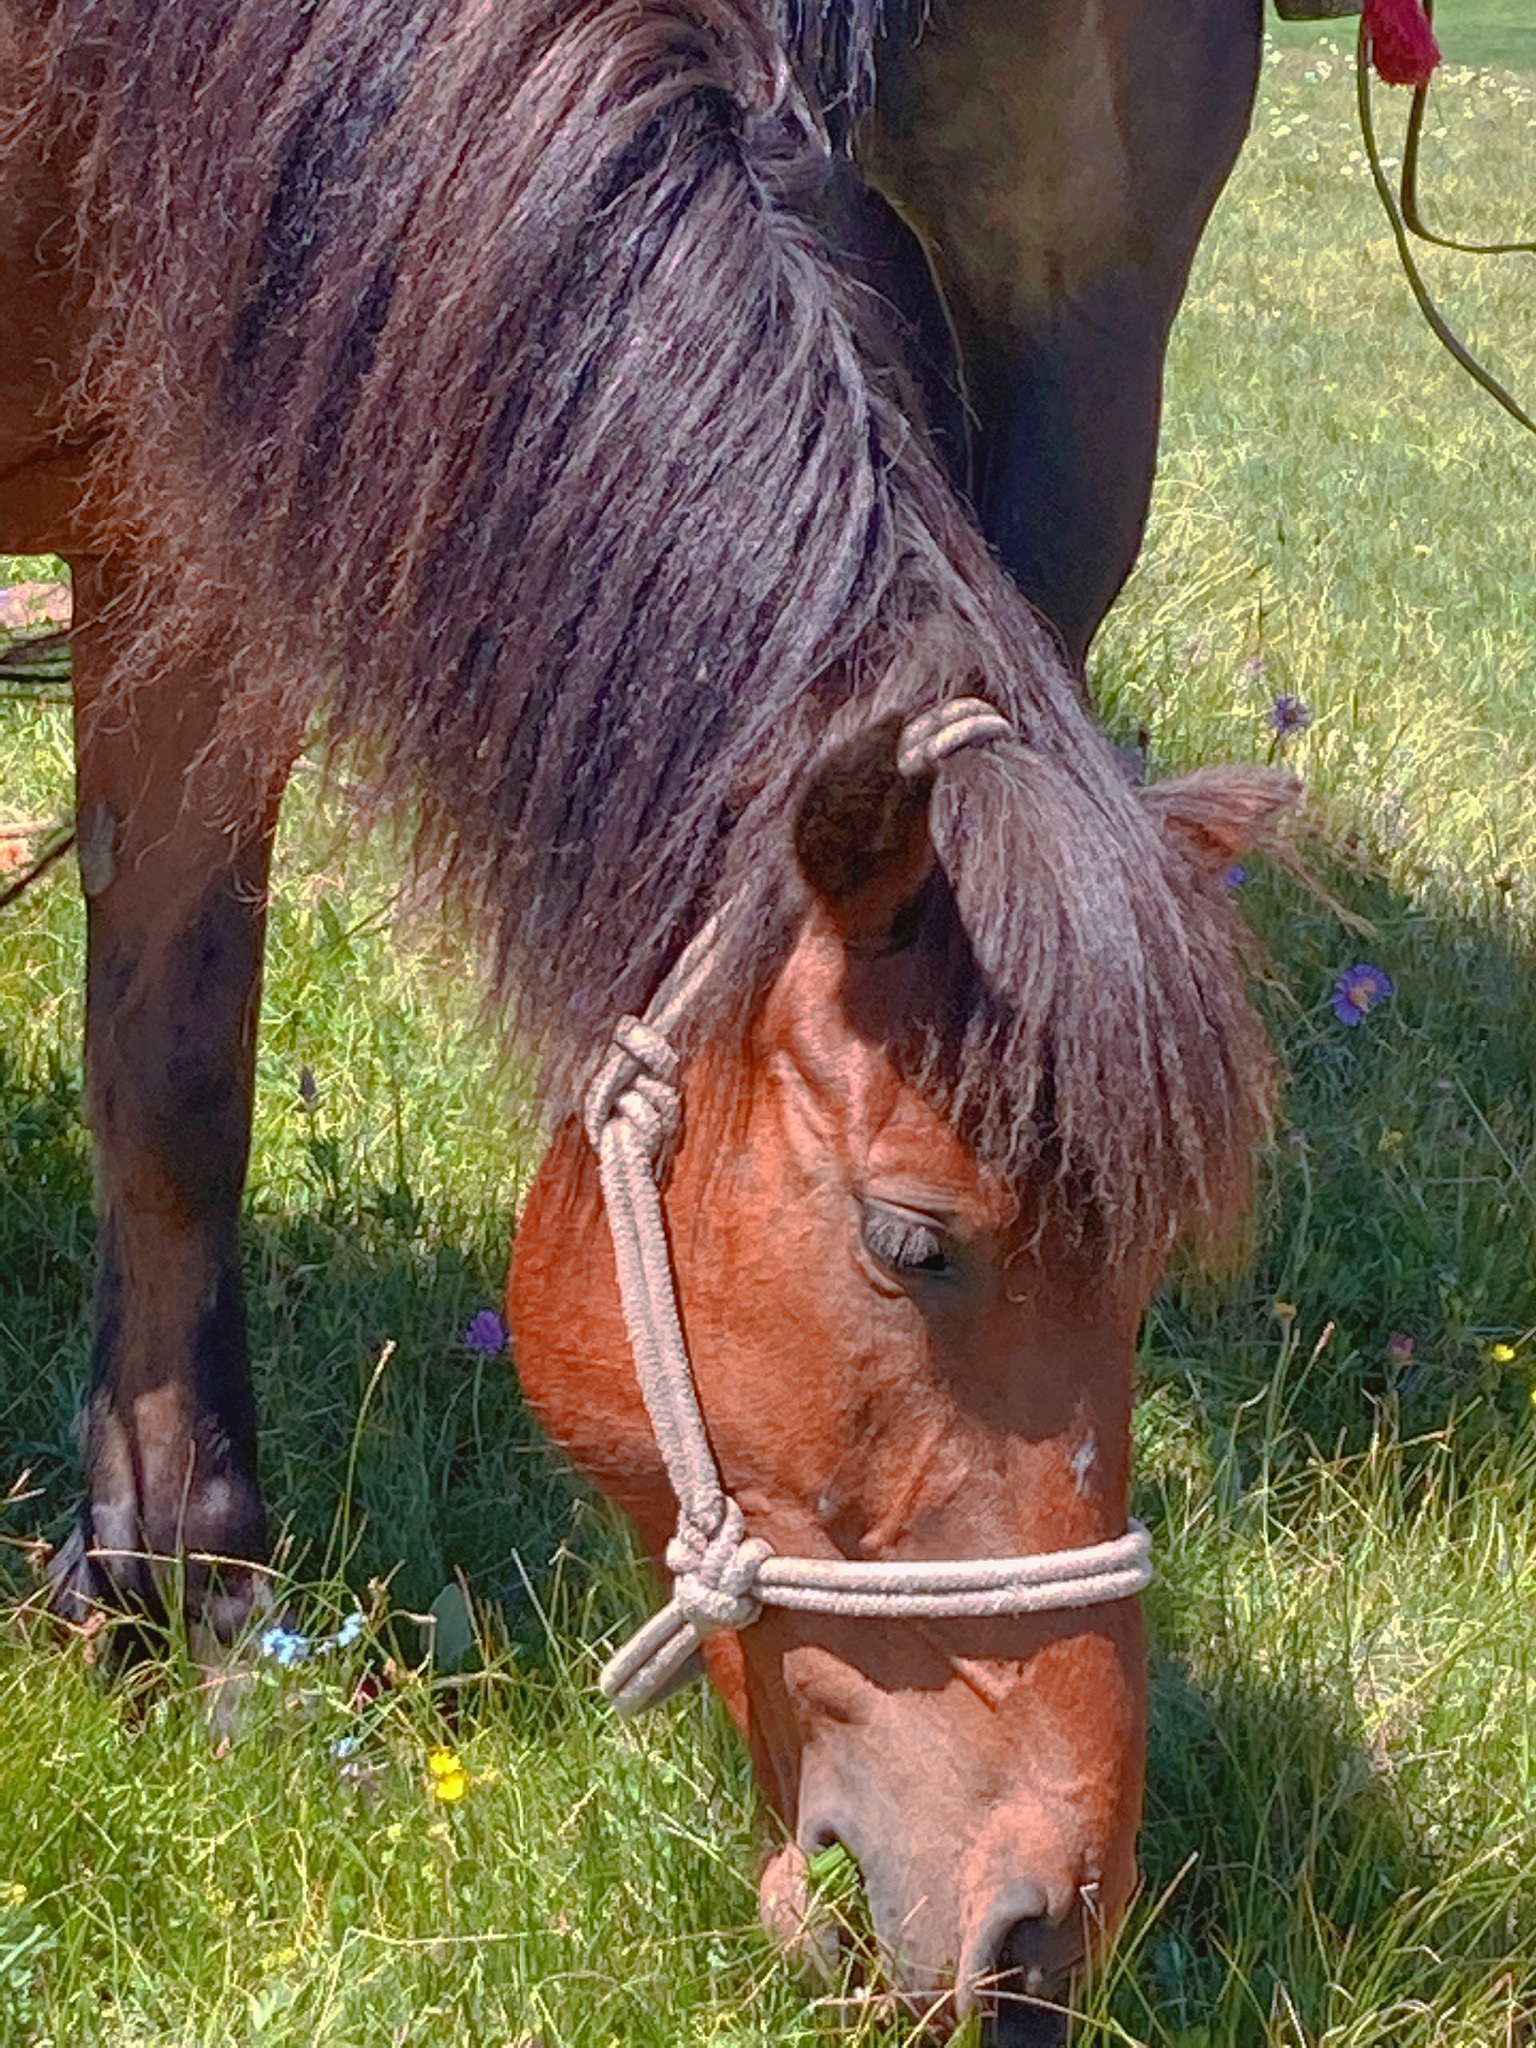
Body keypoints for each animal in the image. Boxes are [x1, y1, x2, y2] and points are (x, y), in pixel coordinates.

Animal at [6, 0, 1294, 2031]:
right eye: (914, 1243)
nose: (1038, 1938)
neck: (108, 88)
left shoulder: (184, 539)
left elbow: (177, 1079)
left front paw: (182, 1610)